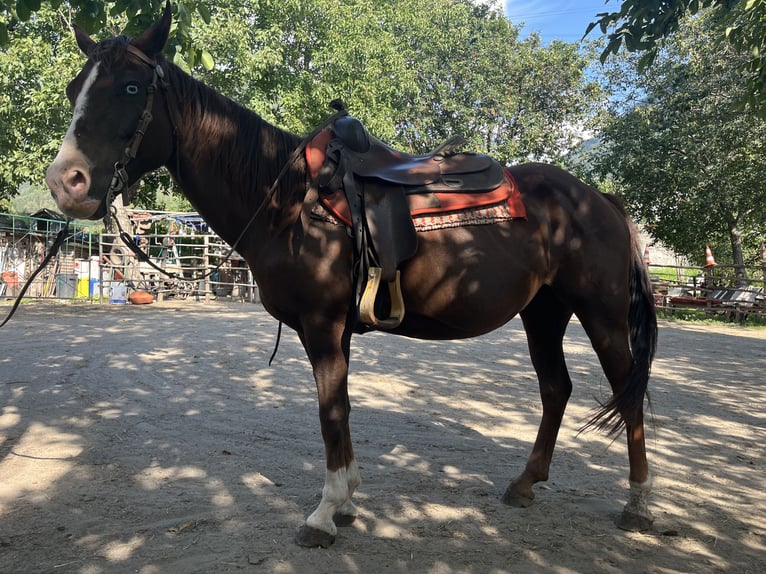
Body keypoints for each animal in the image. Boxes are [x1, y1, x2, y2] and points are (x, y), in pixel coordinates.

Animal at [45, 2, 657, 548]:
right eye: (76, 88)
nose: (66, 182)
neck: (289, 203)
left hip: (600, 314)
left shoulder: (321, 327)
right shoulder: (336, 331)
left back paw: (639, 505)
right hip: (544, 312)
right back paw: (526, 483)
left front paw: (324, 513)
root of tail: (600, 199)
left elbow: (330, 413)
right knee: (556, 388)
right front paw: (346, 503)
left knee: (627, 390)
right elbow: (341, 411)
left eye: (130, 88)